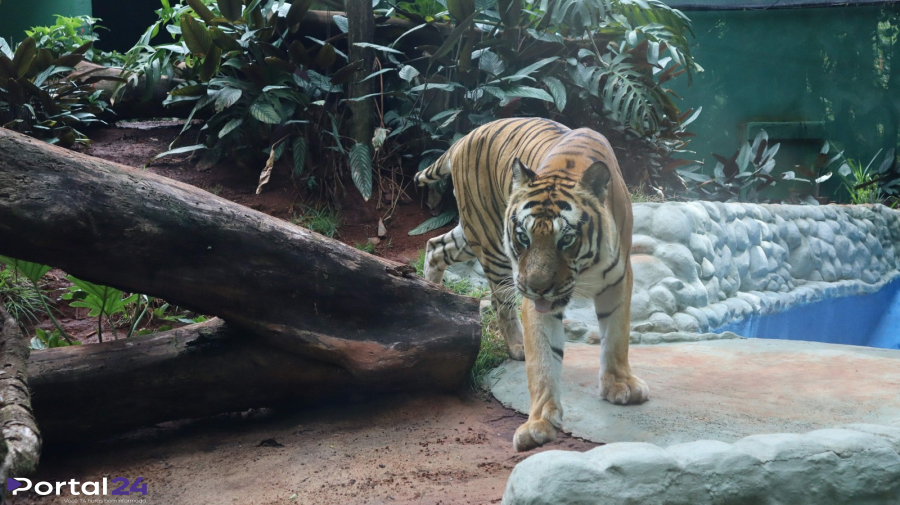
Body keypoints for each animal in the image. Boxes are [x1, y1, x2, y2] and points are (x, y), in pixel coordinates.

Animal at [415, 117, 649, 452]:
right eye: (523, 237)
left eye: (566, 239)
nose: (538, 287)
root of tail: (463, 139)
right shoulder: (533, 295)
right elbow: (543, 357)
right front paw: (539, 422)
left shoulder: (618, 279)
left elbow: (617, 335)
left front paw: (620, 385)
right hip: (489, 242)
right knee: (500, 301)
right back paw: (516, 345)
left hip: (469, 235)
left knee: (435, 246)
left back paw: (431, 292)